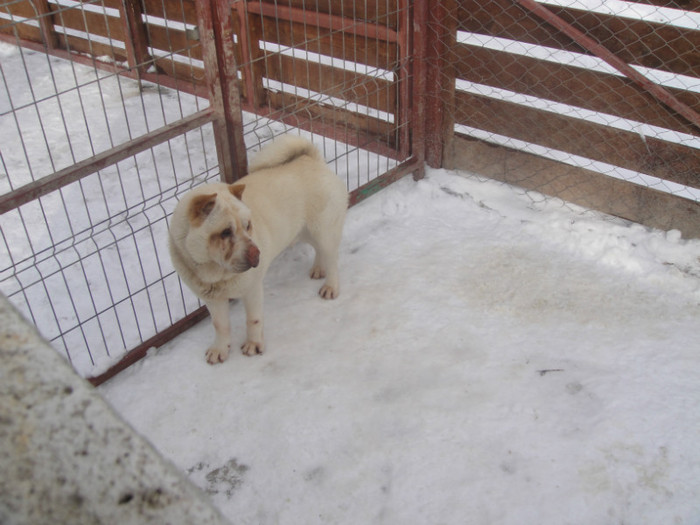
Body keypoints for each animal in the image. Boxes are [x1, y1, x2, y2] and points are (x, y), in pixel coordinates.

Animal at [167, 136, 348, 360]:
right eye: (225, 232)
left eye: (248, 225)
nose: (257, 255)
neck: (215, 274)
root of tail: (311, 159)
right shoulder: (213, 300)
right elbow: (220, 326)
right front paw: (220, 350)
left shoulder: (252, 290)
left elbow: (253, 320)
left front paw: (253, 345)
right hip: (302, 231)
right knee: (319, 251)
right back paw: (318, 269)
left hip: (323, 231)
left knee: (332, 258)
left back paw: (330, 287)